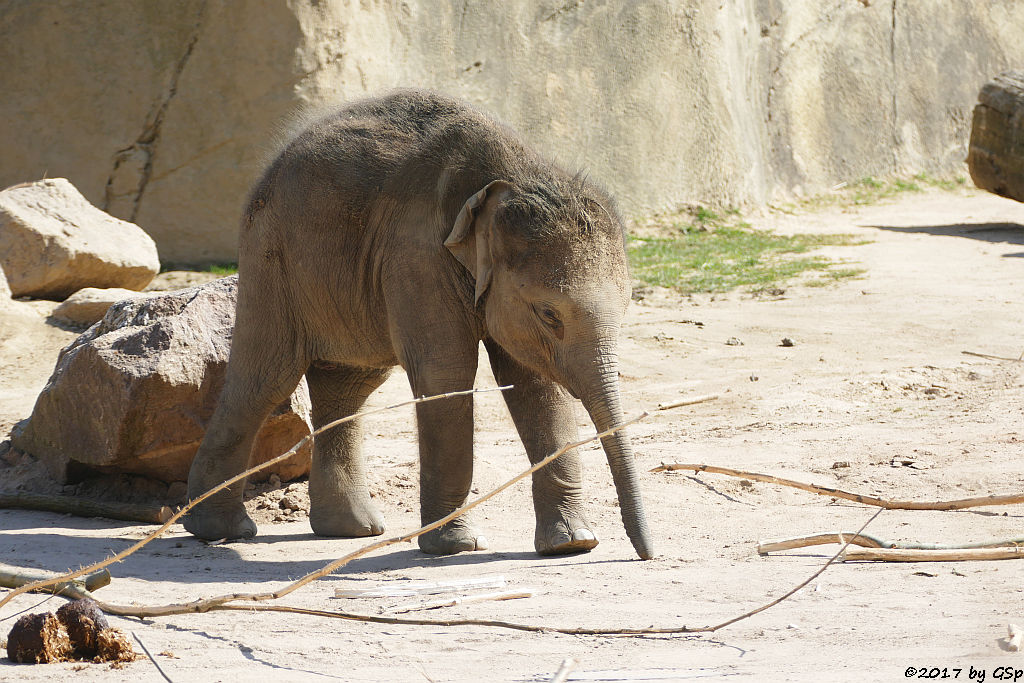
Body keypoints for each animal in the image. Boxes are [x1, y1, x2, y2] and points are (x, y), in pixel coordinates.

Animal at [186, 89, 655, 561]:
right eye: (549, 314)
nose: (646, 554)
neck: (513, 175)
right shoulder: (416, 257)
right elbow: (447, 374)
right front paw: (457, 547)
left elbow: (536, 385)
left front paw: (572, 544)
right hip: (270, 258)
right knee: (266, 380)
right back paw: (220, 530)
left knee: (349, 384)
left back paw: (352, 530)